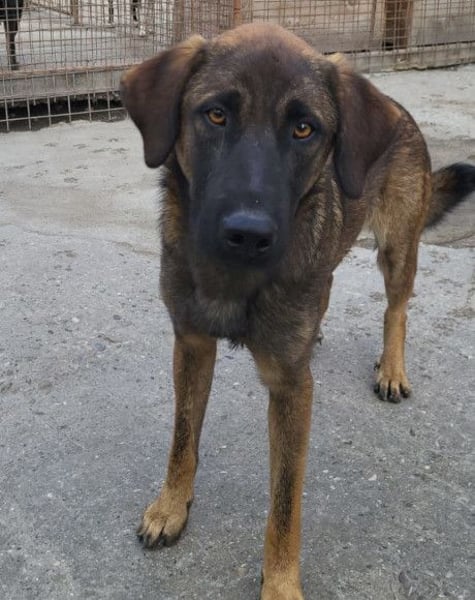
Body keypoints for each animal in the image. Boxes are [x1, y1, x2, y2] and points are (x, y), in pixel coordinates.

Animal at [121, 24, 475, 599]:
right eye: (215, 115)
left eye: (304, 129)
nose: (248, 233)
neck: (236, 278)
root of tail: (397, 108)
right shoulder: (191, 346)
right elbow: (182, 438)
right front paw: (171, 506)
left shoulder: (291, 389)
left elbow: (285, 501)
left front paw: (281, 583)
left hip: (398, 246)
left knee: (397, 308)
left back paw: (392, 368)